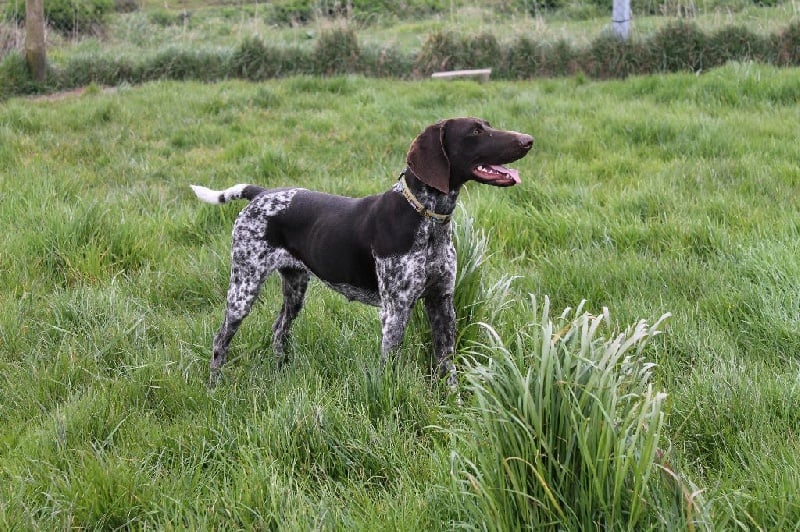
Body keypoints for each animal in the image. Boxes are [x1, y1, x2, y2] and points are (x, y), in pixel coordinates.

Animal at [191, 118, 536, 386]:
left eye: (488, 125)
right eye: (476, 131)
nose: (528, 140)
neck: (426, 217)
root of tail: (261, 193)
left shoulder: (442, 301)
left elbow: (445, 361)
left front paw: (451, 400)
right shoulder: (395, 310)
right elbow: (391, 366)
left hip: (295, 286)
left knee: (279, 330)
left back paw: (280, 371)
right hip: (243, 288)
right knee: (220, 339)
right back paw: (214, 386)